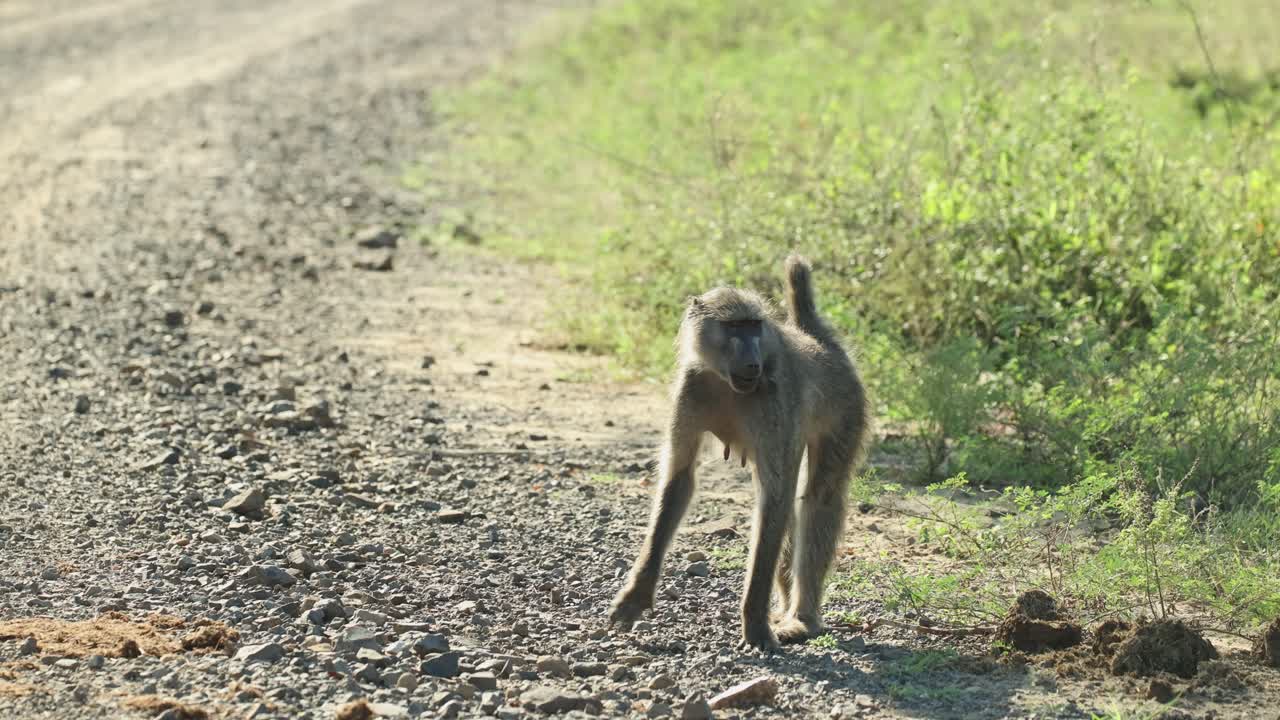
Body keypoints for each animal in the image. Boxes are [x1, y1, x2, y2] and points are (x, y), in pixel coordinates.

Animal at [609, 254, 870, 651]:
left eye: (754, 326)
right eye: (734, 327)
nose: (752, 363)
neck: (723, 380)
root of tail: (819, 341)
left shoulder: (774, 401)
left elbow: (775, 498)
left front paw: (756, 627)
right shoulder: (691, 388)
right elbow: (679, 478)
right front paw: (636, 596)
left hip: (846, 409)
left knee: (818, 499)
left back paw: (802, 619)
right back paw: (786, 612)